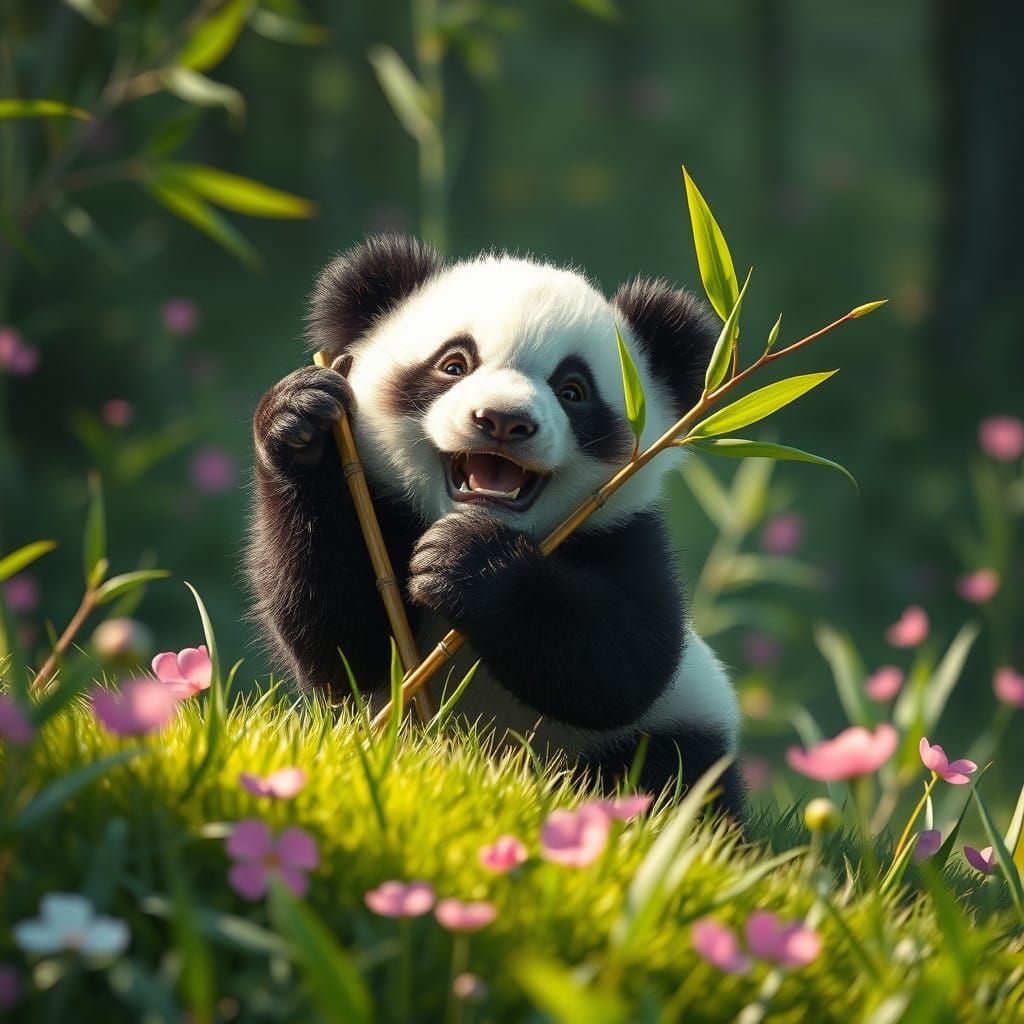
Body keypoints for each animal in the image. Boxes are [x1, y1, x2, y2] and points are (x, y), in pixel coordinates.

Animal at [247, 233, 744, 817]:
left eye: (573, 390)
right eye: (454, 364)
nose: (503, 421)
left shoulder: (621, 530)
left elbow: (627, 660)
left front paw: (466, 562)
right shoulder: (380, 510)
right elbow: (344, 637)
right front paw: (299, 419)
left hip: (665, 734)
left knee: (671, 780)